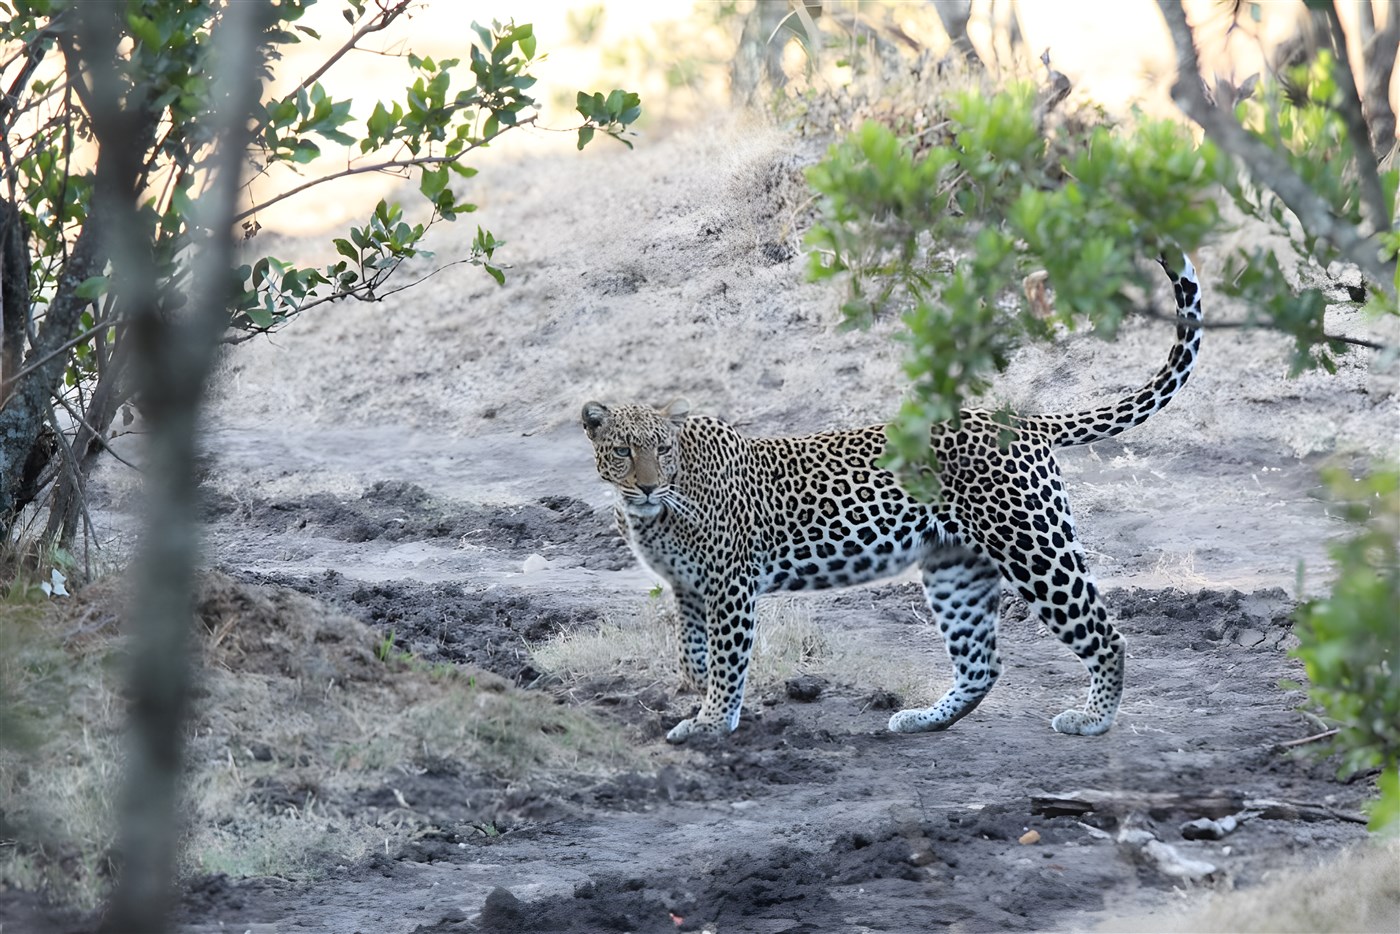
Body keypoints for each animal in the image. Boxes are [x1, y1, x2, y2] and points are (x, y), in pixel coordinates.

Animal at [583, 255, 1203, 744]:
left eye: (662, 449)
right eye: (622, 451)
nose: (646, 486)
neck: (656, 514)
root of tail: (1020, 420)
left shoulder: (730, 584)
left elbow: (728, 658)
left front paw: (711, 722)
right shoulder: (688, 588)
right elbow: (692, 651)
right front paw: (693, 693)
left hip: (1034, 546)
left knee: (1104, 633)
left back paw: (1093, 718)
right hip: (957, 568)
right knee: (982, 663)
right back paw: (924, 719)